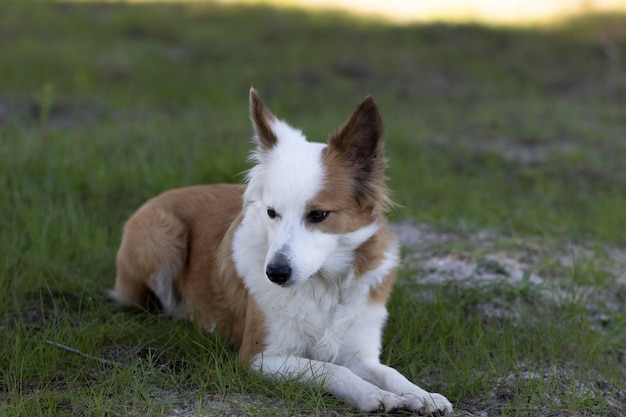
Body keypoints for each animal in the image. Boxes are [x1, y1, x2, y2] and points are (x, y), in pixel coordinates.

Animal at [109, 89, 450, 414]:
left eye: (318, 215)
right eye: (271, 213)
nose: (275, 273)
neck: (324, 287)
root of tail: (161, 196)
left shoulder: (360, 353)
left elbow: (391, 373)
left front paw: (422, 395)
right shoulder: (260, 358)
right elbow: (331, 369)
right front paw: (372, 395)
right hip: (160, 233)